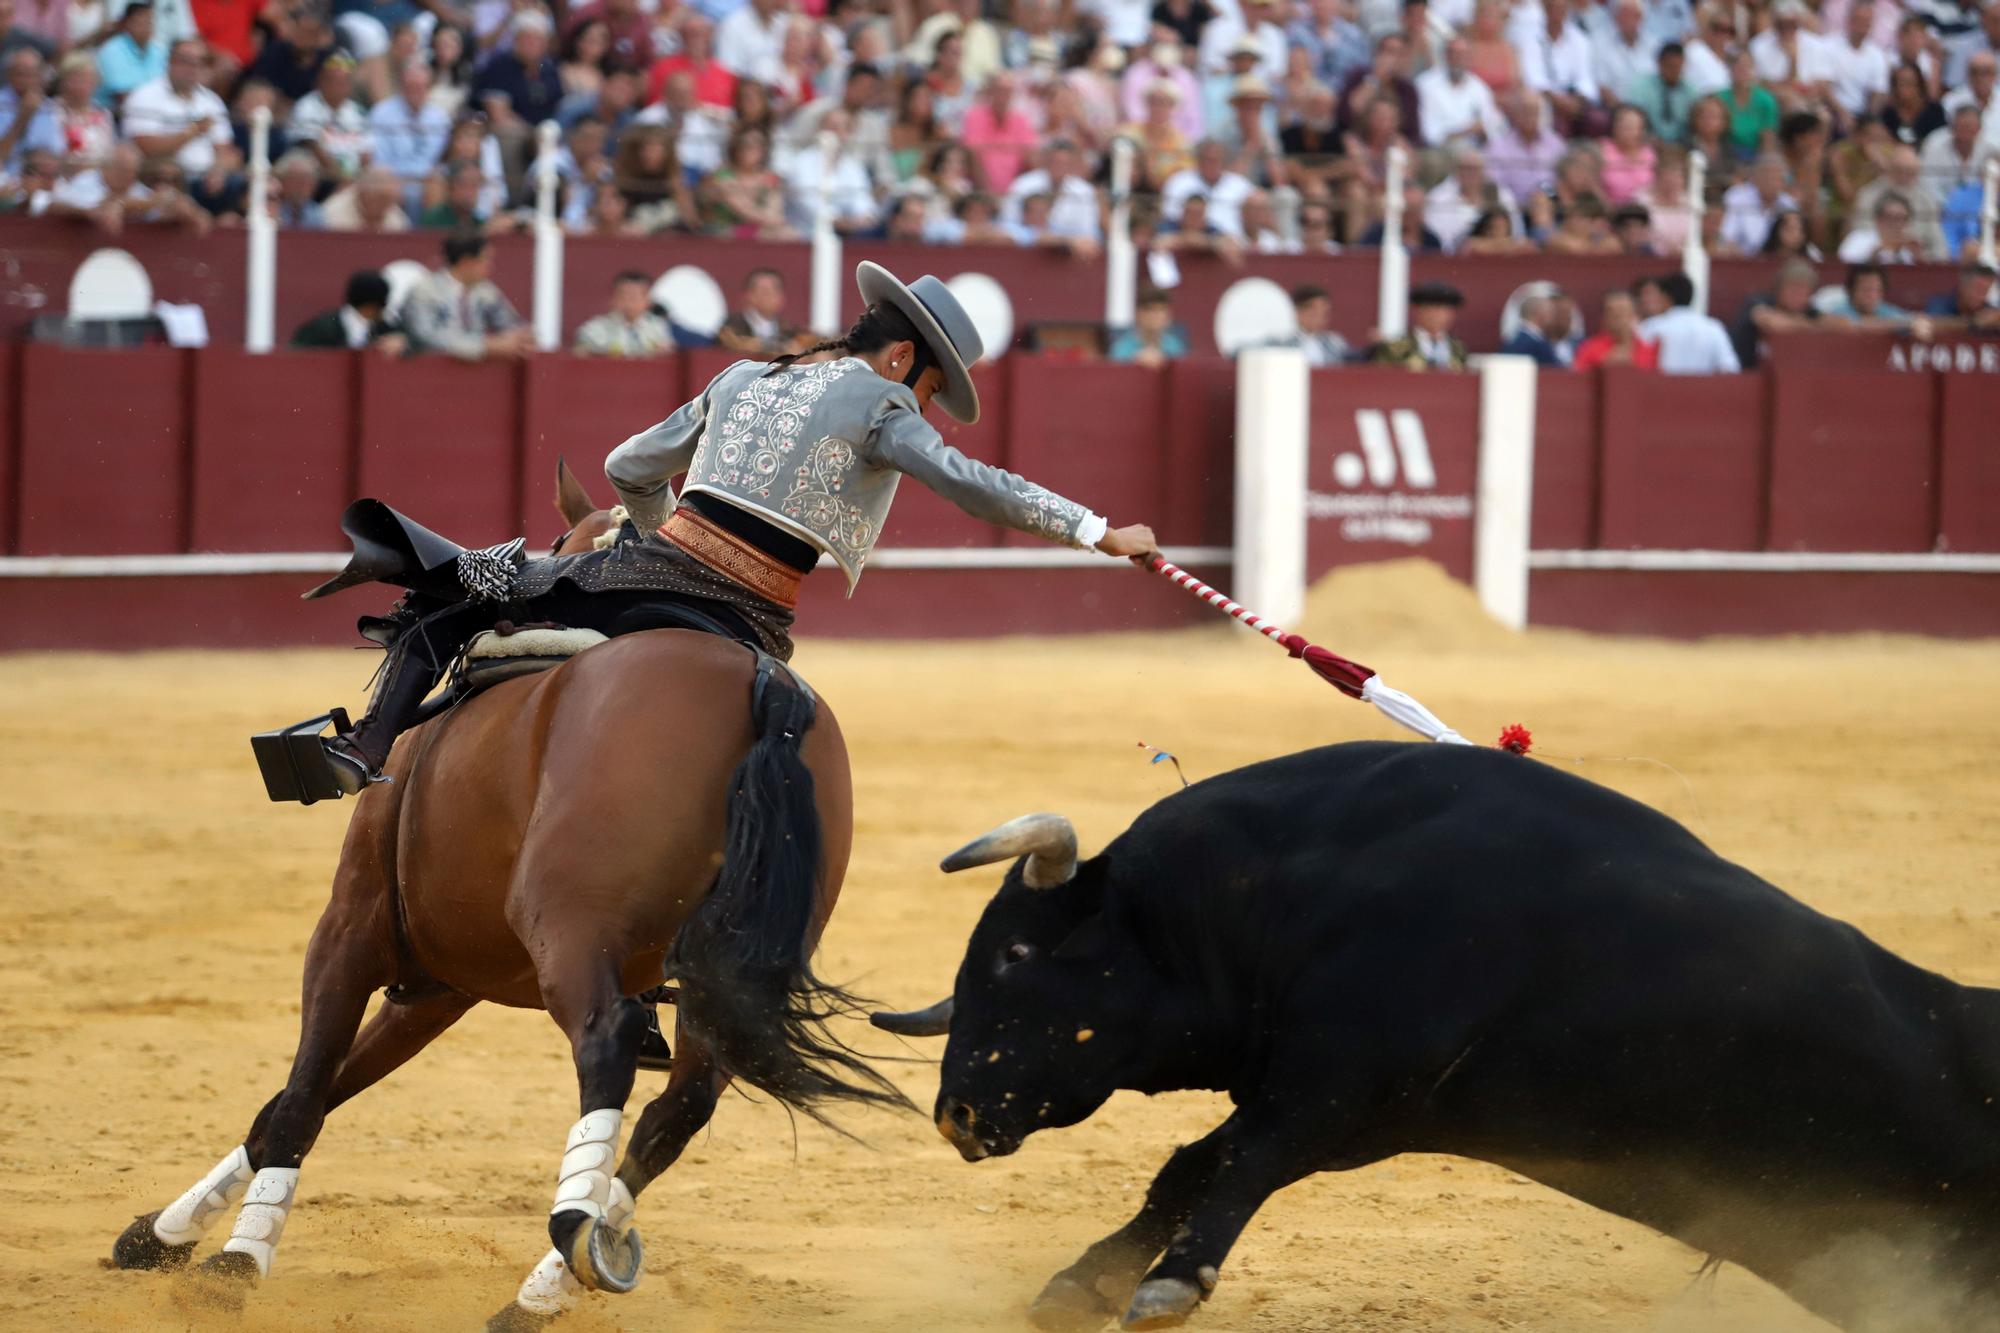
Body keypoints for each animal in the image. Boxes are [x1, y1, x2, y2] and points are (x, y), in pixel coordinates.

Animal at [109, 462, 908, 1320]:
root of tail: (762, 682)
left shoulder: (352, 927)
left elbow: (300, 1095)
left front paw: (234, 1261)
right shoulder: (441, 982)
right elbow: (305, 1097)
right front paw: (158, 1234)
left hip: (568, 926)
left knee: (608, 1040)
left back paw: (573, 1235)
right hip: (726, 975)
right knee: (681, 1105)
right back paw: (556, 1279)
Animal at [880, 740, 2000, 1320]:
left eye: (1012, 956)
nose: (956, 1113)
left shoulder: (1339, 1091)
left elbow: (1240, 1160)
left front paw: (1165, 1283)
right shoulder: (1340, 1104)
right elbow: (1189, 1165)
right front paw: (1084, 1281)